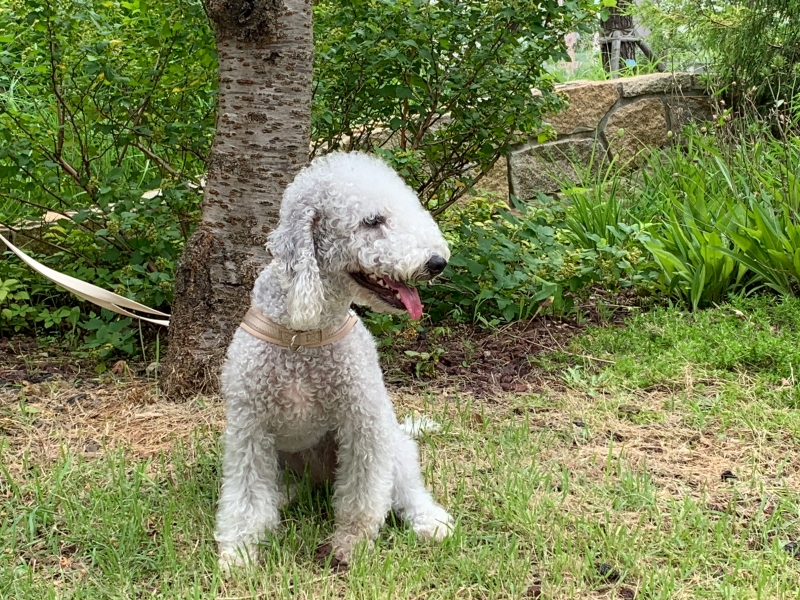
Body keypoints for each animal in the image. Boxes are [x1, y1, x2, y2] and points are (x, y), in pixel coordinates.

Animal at [216, 151, 454, 572]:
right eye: (372, 220)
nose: (437, 261)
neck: (303, 333)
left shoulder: (364, 422)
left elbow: (362, 496)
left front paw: (349, 544)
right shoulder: (249, 428)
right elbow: (245, 498)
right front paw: (240, 552)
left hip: (393, 441)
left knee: (408, 486)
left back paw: (430, 521)